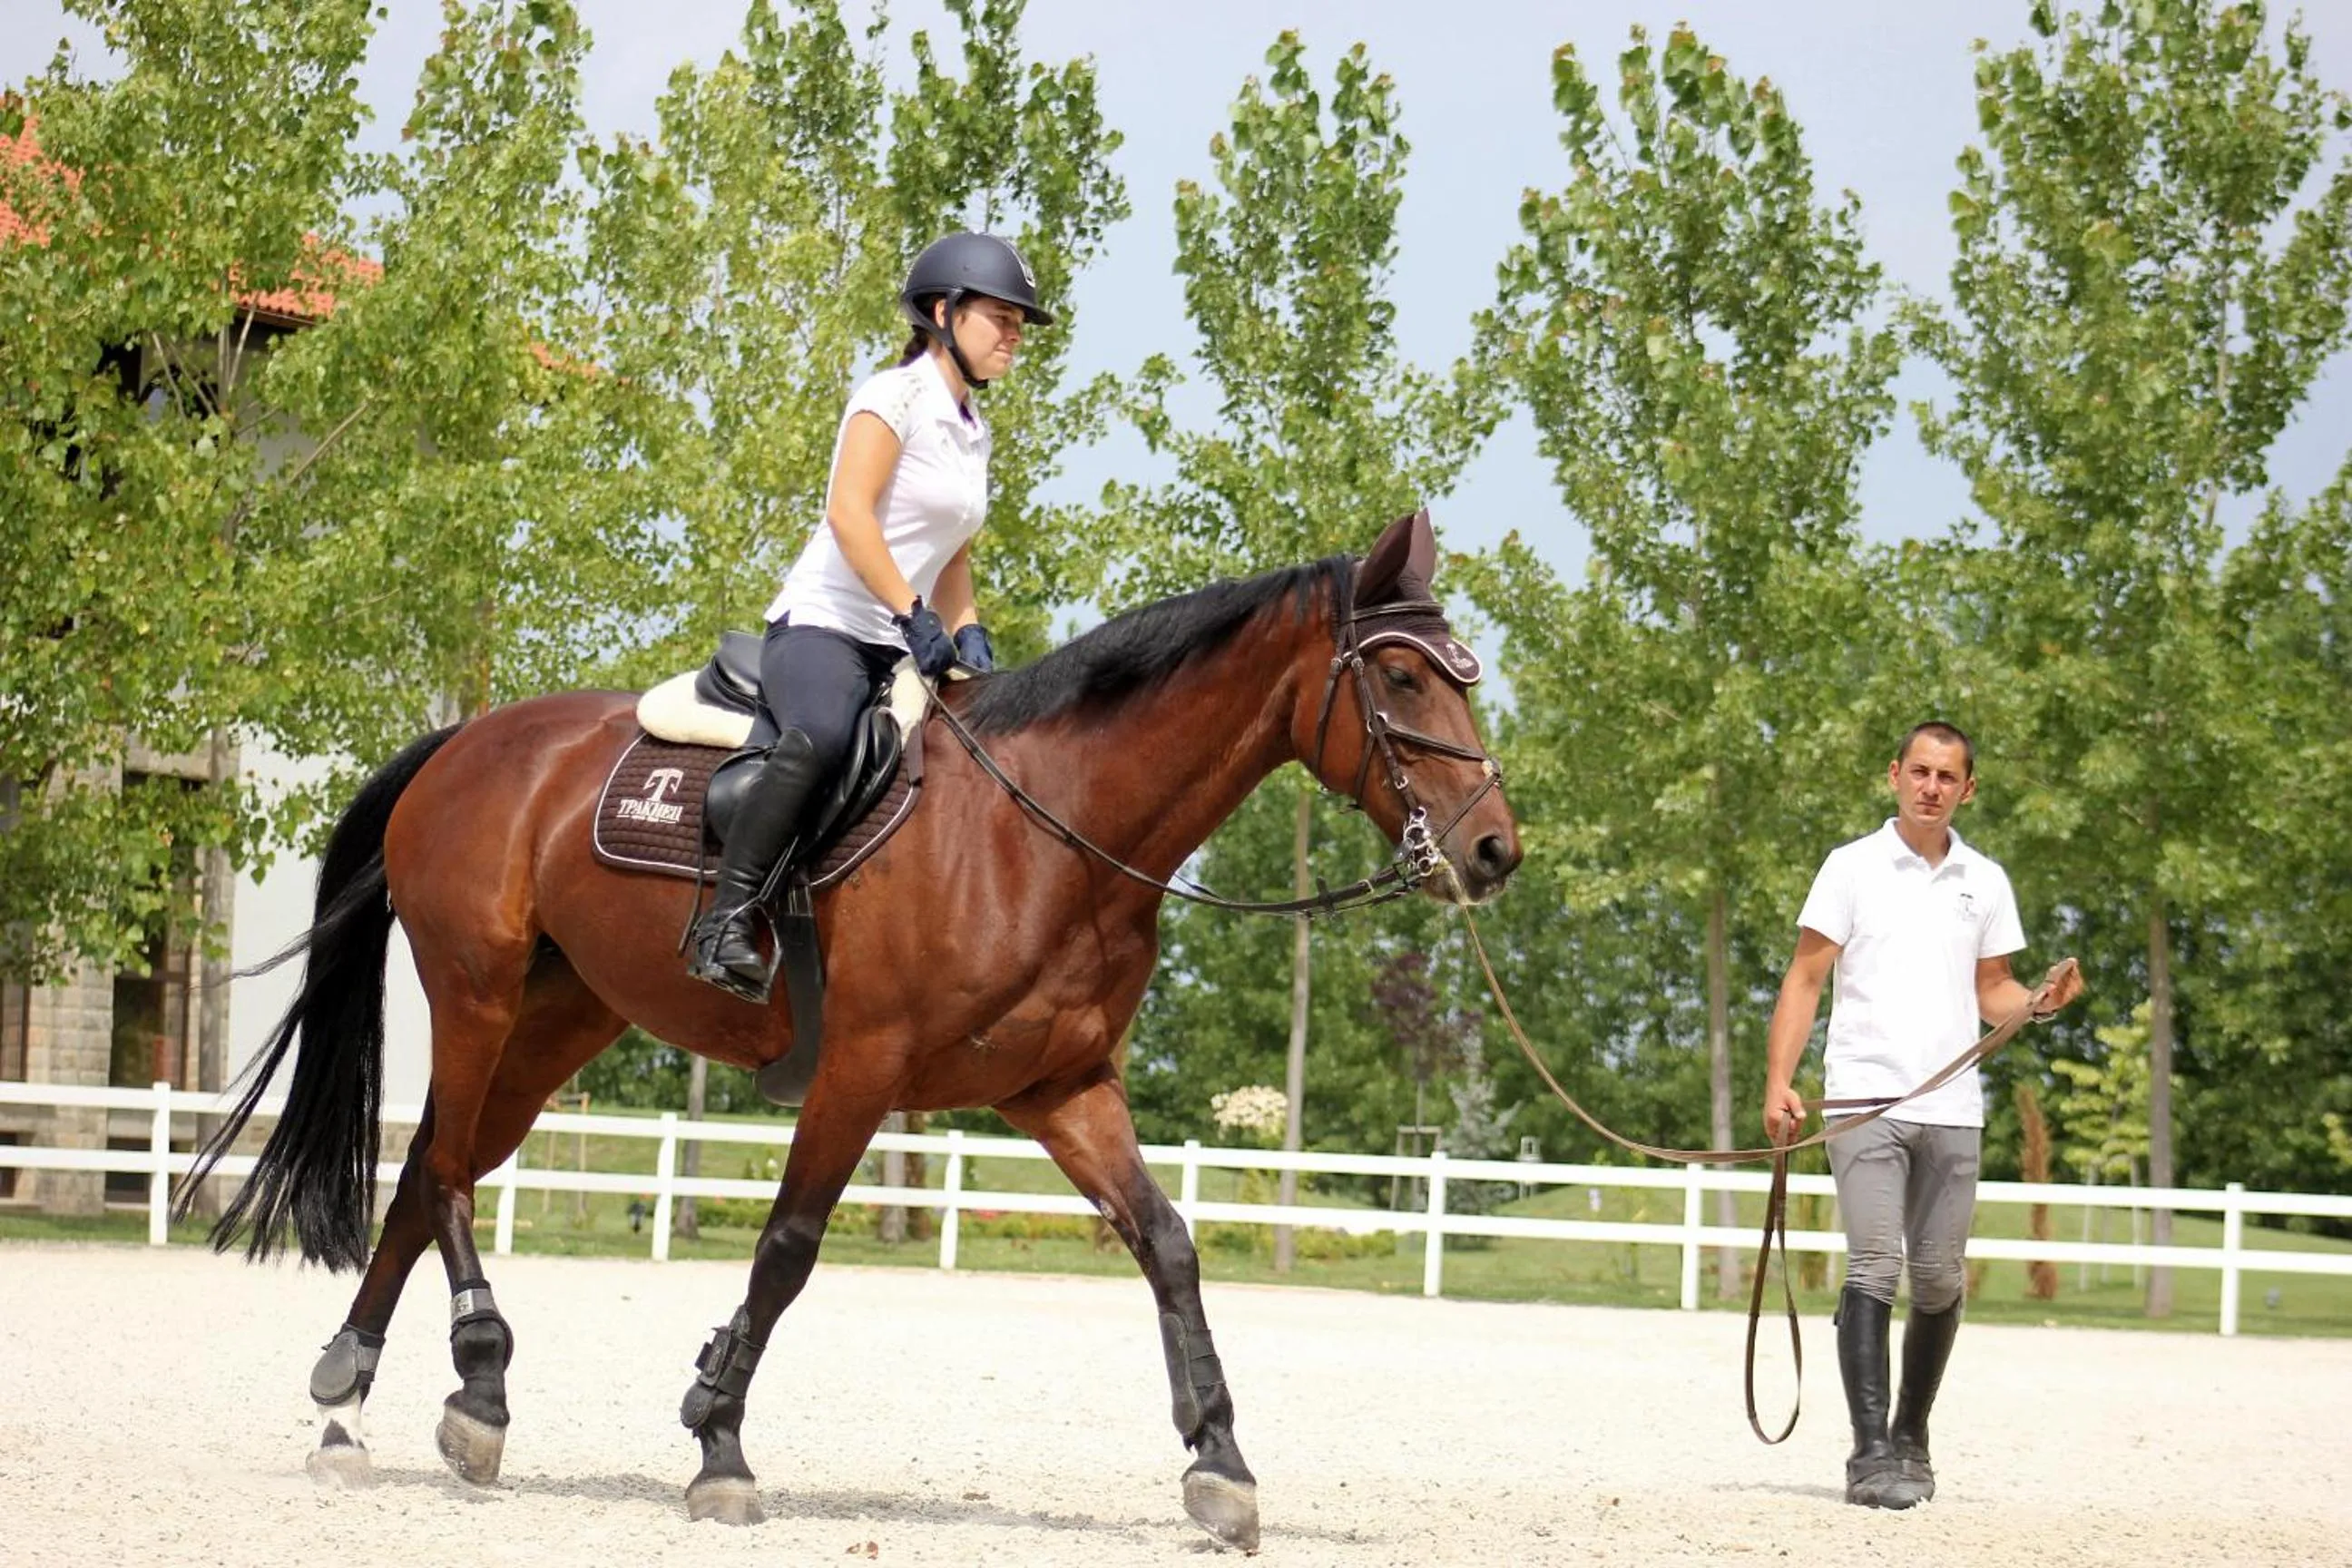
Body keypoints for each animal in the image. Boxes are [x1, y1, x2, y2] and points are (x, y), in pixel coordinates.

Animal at [180, 508, 1522, 1549]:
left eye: (1465, 674)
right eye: (1404, 678)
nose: (1494, 852)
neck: (1049, 829)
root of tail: (465, 741)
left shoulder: (1063, 1087)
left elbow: (1169, 1245)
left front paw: (1222, 1467)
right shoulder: (861, 1071)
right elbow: (788, 1248)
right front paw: (719, 1444)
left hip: (559, 1022)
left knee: (425, 1172)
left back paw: (349, 1404)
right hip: (475, 994)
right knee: (450, 1170)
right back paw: (479, 1385)